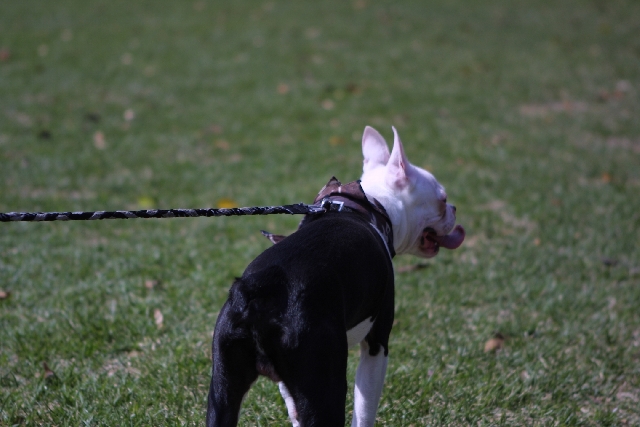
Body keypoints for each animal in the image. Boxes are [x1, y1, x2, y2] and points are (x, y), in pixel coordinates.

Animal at [209, 127, 464, 427]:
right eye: (443, 200)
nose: (455, 209)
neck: (372, 206)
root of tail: (260, 291)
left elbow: (294, 410)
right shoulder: (376, 345)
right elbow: (364, 410)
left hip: (224, 387)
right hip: (324, 382)